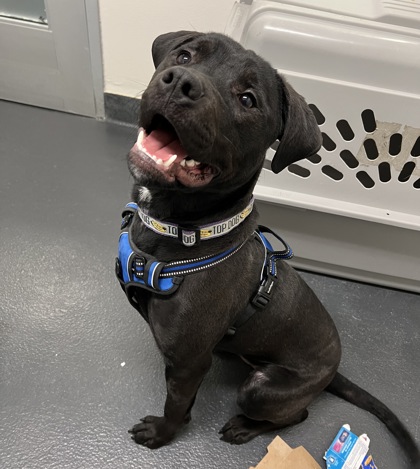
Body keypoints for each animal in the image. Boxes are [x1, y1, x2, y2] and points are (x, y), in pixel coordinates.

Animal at [116, 31, 420, 466]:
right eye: (185, 56)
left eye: (247, 99)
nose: (179, 82)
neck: (183, 234)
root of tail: (333, 370)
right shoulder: (187, 361)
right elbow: (183, 400)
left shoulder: (189, 361)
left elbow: (175, 404)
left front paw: (162, 433)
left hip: (259, 388)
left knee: (296, 414)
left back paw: (245, 427)